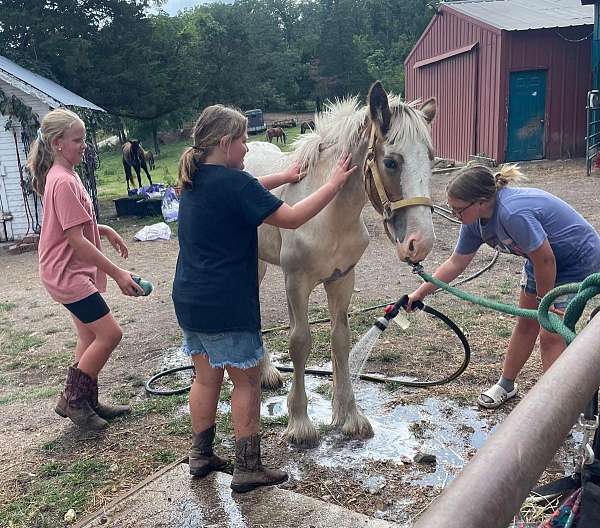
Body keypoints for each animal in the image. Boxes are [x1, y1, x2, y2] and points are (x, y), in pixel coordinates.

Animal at [244, 80, 436, 448]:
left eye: (431, 160)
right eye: (391, 162)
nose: (420, 243)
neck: (329, 215)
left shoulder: (342, 279)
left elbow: (341, 340)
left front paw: (349, 416)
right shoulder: (296, 282)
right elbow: (300, 342)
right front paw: (300, 423)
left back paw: (266, 374)